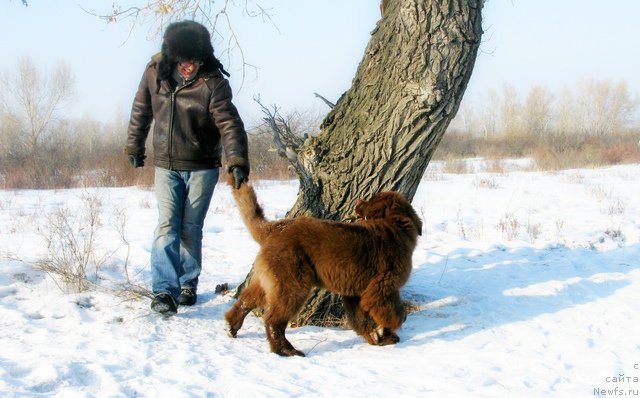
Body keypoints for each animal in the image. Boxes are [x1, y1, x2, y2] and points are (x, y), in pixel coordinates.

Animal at [222, 180, 422, 358]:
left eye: (371, 199)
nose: (357, 201)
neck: (395, 226)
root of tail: (276, 228)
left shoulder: (356, 292)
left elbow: (361, 318)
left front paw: (377, 337)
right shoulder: (382, 287)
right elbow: (393, 312)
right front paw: (390, 330)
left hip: (271, 280)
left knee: (246, 300)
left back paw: (232, 326)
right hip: (292, 283)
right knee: (273, 320)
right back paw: (286, 351)